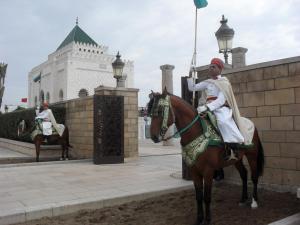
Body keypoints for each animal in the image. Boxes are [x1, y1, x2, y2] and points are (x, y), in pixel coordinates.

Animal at [148, 91, 264, 225]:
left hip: (252, 156)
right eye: (151, 111)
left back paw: (254, 202)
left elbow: (207, 197)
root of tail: (251, 124)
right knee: (244, 174)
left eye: (160, 110)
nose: (153, 136)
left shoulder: (208, 171)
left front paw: (208, 220)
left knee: (254, 176)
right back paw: (243, 199)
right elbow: (199, 196)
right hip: (236, 159)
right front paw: (199, 219)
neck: (197, 132)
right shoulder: (194, 171)